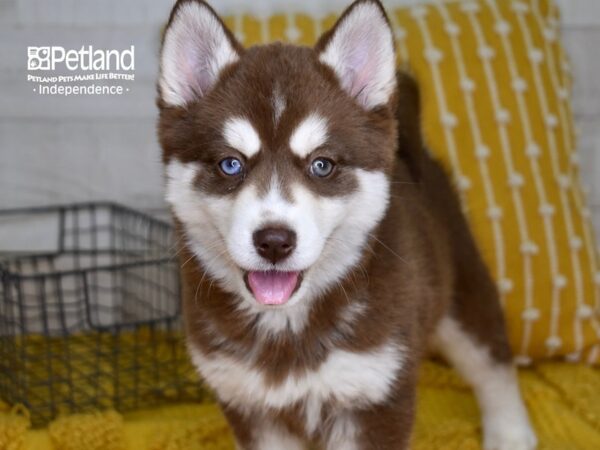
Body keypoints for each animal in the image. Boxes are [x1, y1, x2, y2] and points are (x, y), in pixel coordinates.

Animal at [157, 0, 536, 450]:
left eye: (322, 165)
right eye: (230, 164)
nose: (274, 241)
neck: (286, 325)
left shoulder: (375, 393)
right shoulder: (249, 402)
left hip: (461, 287)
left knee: (491, 362)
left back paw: (510, 431)